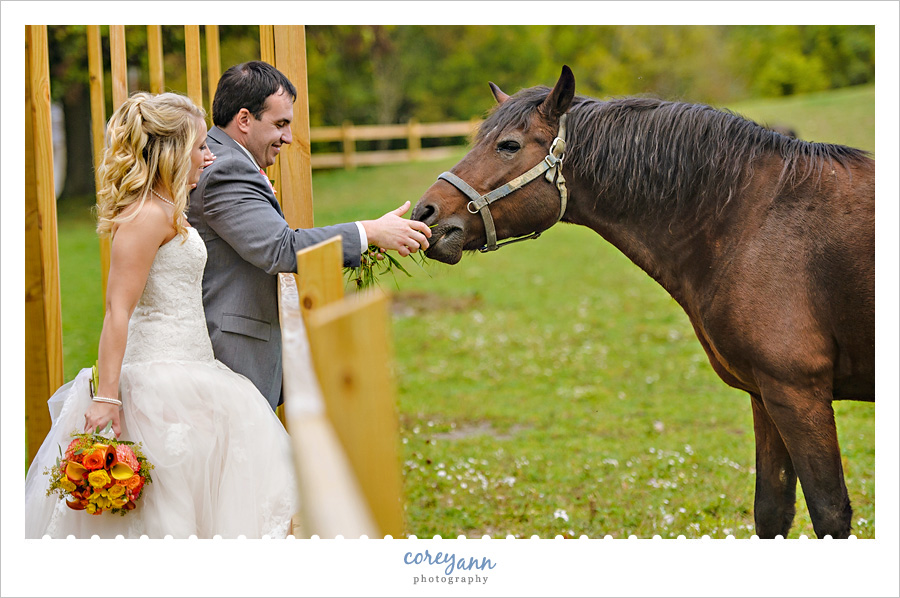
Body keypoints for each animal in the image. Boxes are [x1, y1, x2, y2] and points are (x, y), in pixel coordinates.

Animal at [411, 66, 875, 539]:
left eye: (508, 145)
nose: (424, 213)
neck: (753, 220)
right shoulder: (765, 396)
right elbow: (772, 512)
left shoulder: (799, 395)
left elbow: (829, 512)